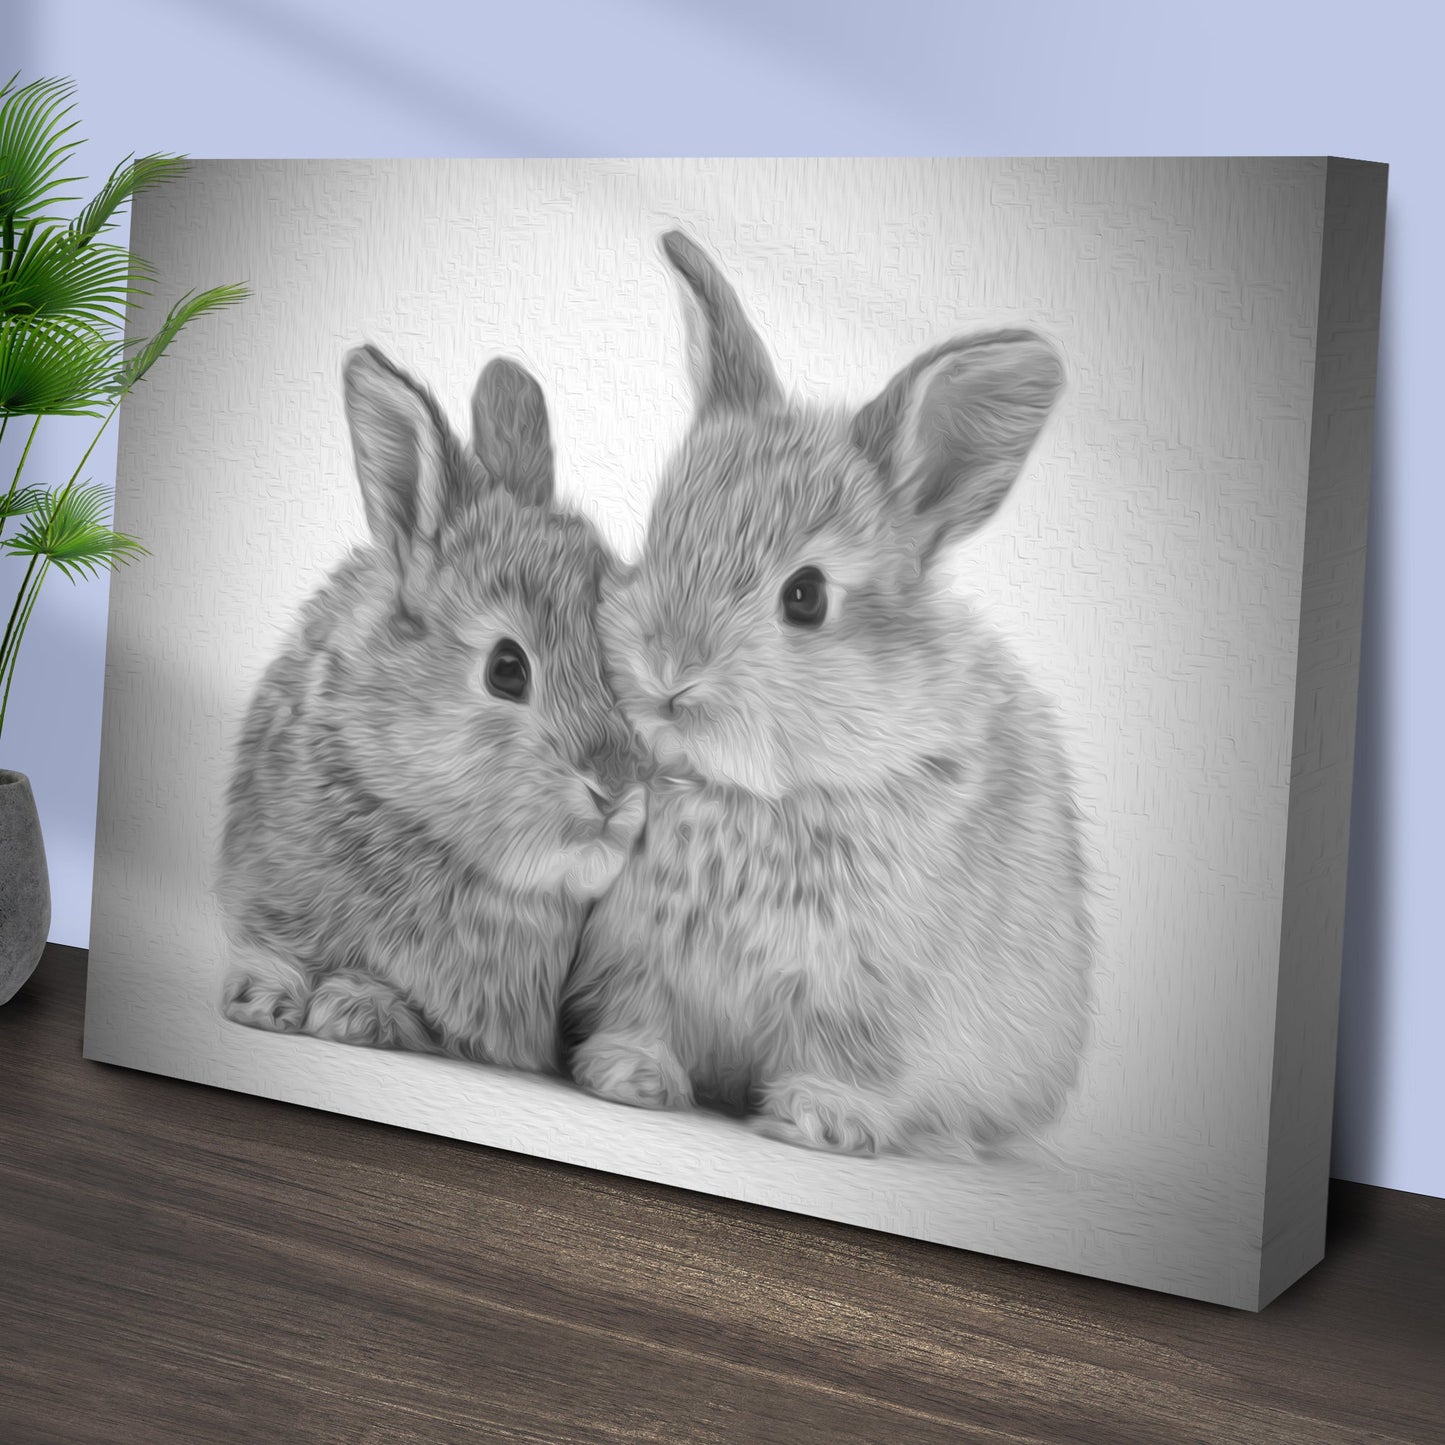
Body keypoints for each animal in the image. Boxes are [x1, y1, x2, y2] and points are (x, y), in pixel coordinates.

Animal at [560, 231, 1094, 1156]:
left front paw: (821, 1118)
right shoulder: (636, 956)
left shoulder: (867, 991)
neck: (749, 793)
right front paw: (627, 1074)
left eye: (805, 596)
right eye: (659, 539)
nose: (667, 672)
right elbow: (641, 1013)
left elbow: (847, 1057)